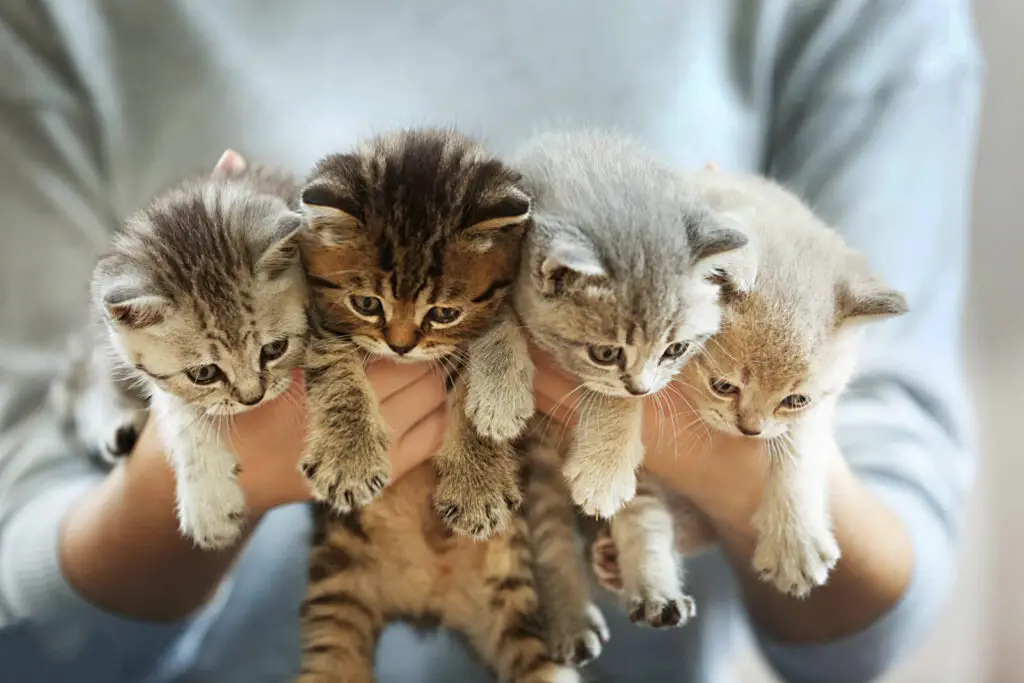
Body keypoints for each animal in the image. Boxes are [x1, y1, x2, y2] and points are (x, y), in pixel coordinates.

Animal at [296, 129, 536, 540]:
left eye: (444, 314)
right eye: (366, 304)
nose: (401, 346)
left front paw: (479, 482)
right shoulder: (316, 315)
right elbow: (333, 365)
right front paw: (349, 458)